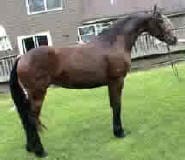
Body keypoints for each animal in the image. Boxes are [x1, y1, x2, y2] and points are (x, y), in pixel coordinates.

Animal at [9, 5, 176, 158]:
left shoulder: (111, 83)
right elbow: (117, 105)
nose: (173, 39)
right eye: (160, 20)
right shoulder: (117, 81)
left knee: (25, 119)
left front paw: (117, 131)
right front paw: (120, 132)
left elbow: (113, 105)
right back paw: (40, 151)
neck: (113, 43)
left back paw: (30, 148)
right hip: (38, 93)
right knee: (31, 119)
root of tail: (22, 58)